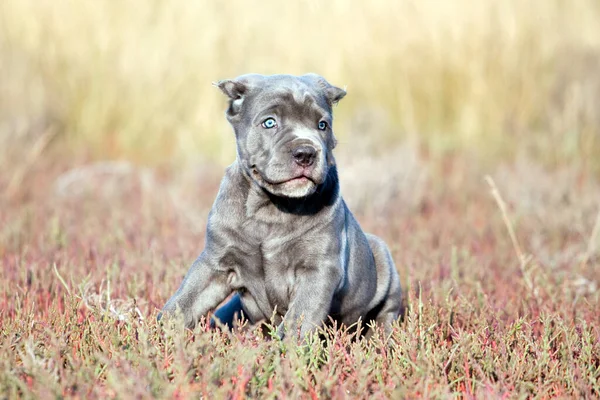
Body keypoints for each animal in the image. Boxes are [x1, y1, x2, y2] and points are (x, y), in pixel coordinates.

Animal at [162, 72, 400, 338]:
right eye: (269, 123)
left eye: (322, 125)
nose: (306, 153)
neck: (270, 207)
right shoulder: (216, 262)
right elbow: (183, 302)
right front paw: (155, 333)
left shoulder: (318, 270)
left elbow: (299, 319)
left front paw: (287, 349)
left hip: (382, 257)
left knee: (386, 313)